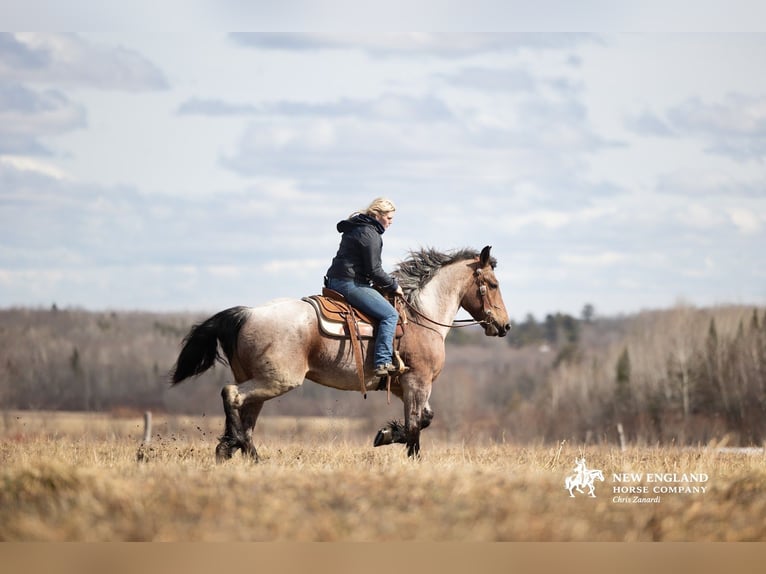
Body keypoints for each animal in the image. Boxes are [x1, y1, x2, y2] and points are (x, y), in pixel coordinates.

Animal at [169, 245, 511, 460]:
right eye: (493, 284)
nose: (505, 325)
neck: (420, 317)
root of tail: (247, 313)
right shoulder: (418, 383)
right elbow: (416, 425)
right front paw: (405, 451)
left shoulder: (407, 387)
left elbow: (423, 419)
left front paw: (387, 433)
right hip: (276, 380)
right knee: (231, 395)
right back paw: (235, 445)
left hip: (260, 382)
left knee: (246, 416)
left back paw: (237, 451)